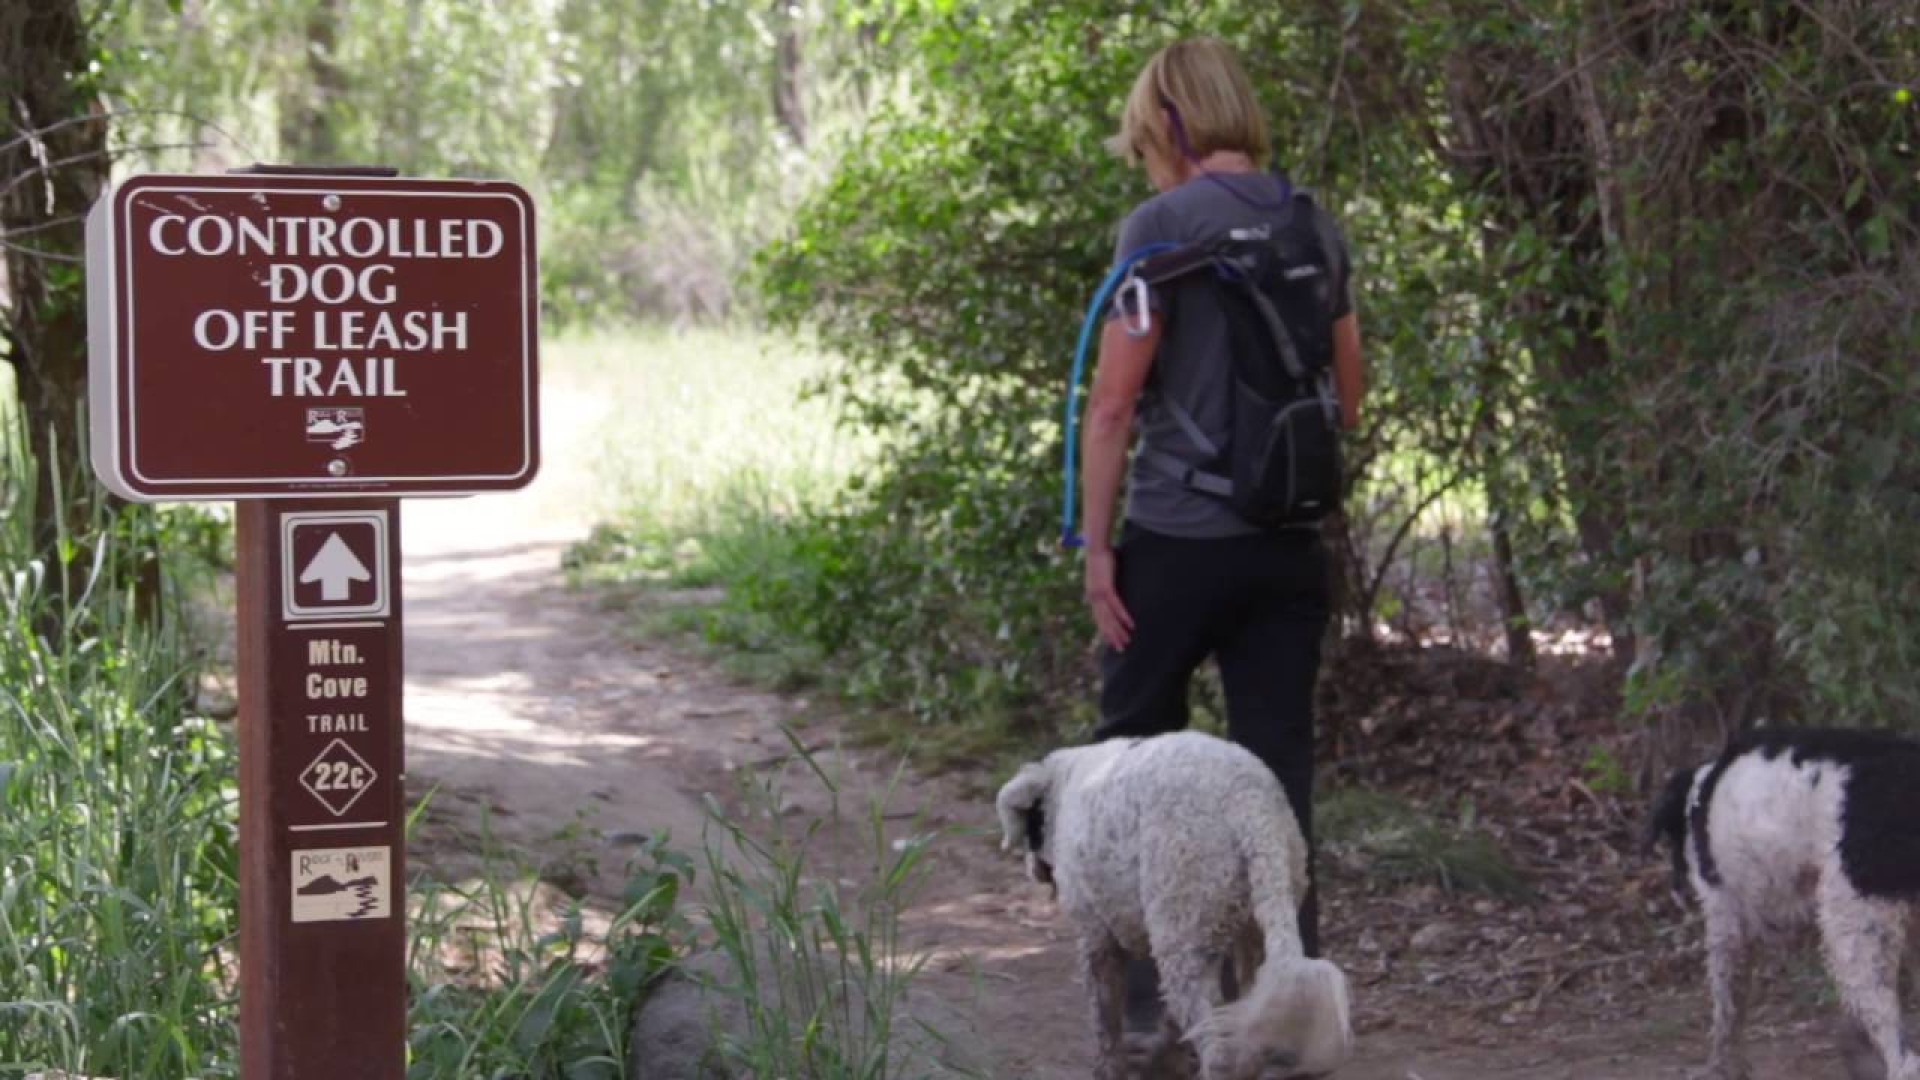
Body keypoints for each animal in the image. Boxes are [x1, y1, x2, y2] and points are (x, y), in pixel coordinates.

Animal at [998, 726, 1359, 1068]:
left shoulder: (1097, 937)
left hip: (1182, 934)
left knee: (1215, 1044)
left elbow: (1106, 1021)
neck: (1068, 784)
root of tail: (1248, 803)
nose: (1032, 869)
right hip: (1255, 923)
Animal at [1651, 722, 1920, 1076]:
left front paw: (1722, 1066)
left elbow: (1727, 1010)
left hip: (1852, 932)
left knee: (1902, 1057)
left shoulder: (1727, 918)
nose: (1677, 892)